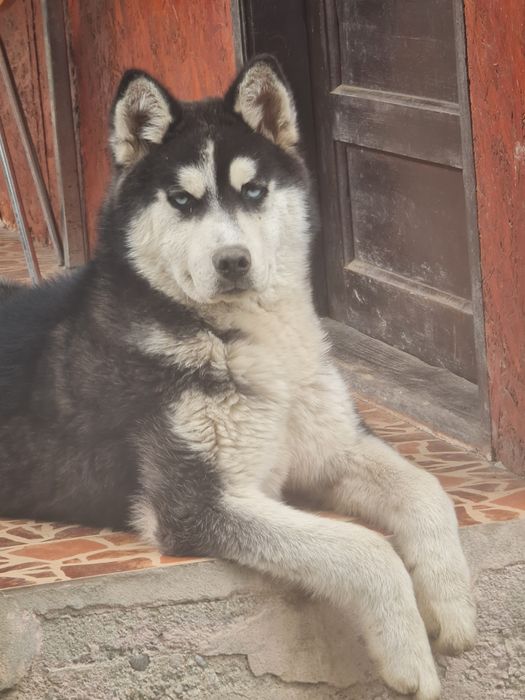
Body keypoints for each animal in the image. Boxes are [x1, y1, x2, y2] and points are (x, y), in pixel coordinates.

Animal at [0, 56, 475, 699]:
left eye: (253, 191)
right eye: (181, 199)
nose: (233, 261)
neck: (252, 343)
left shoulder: (335, 448)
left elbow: (429, 491)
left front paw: (452, 607)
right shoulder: (199, 503)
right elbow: (364, 547)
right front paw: (407, 655)